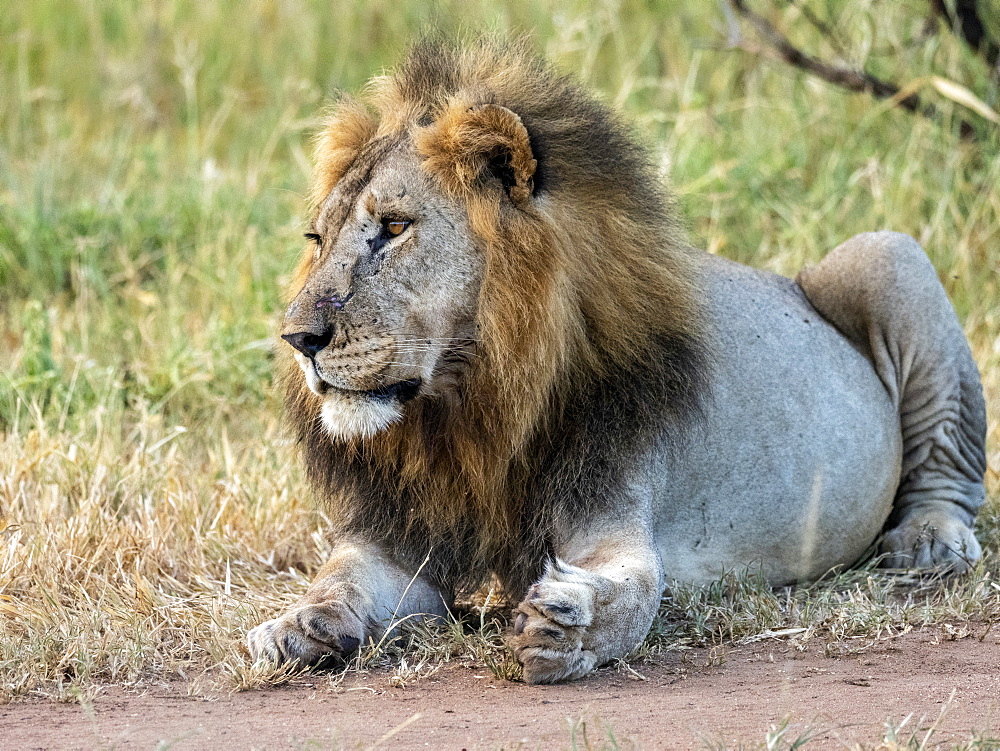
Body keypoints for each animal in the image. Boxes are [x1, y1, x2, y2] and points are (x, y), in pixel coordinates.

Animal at [246, 38, 988, 684]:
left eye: (395, 227)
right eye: (318, 238)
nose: (296, 336)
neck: (474, 413)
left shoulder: (616, 510)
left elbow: (636, 590)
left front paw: (565, 627)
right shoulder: (398, 537)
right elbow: (341, 576)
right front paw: (296, 626)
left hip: (887, 253)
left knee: (950, 464)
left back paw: (930, 540)